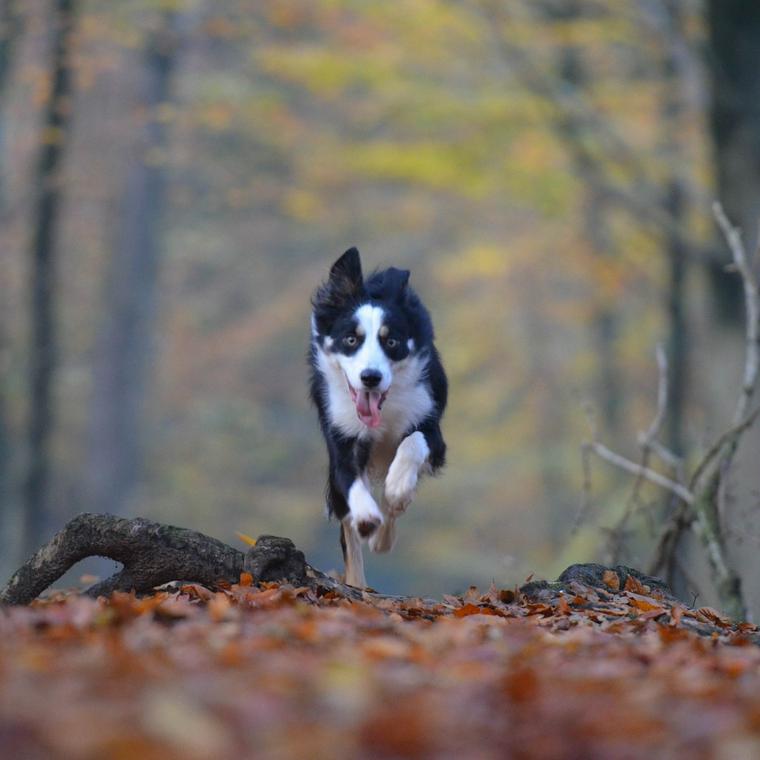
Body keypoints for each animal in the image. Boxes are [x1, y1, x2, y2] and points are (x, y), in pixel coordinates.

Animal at [312, 248, 448, 588]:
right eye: (351, 340)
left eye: (391, 342)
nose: (370, 377)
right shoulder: (341, 433)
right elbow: (349, 481)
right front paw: (366, 516)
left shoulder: (431, 427)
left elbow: (413, 443)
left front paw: (398, 488)